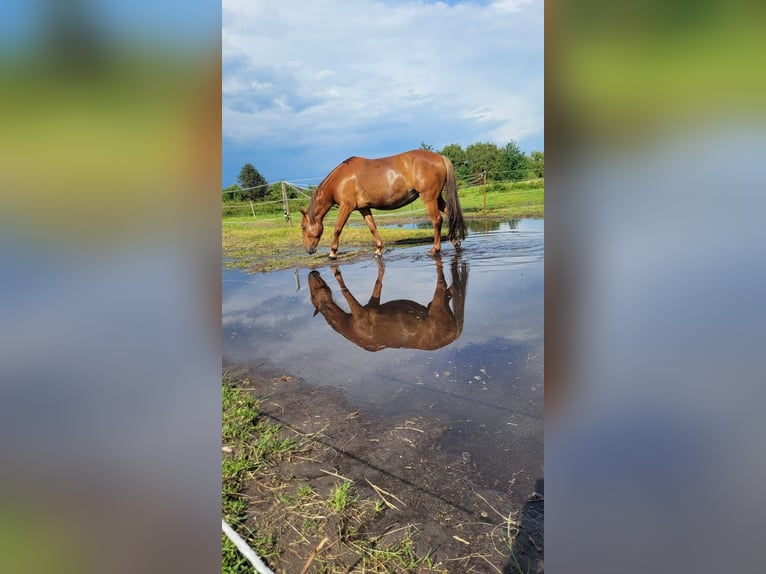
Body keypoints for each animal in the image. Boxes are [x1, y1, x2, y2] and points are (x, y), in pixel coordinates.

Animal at [300, 153, 468, 260]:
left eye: (303, 227)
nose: (308, 250)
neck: (341, 179)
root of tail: (439, 157)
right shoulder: (363, 208)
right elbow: (372, 228)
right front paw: (378, 250)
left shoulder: (346, 207)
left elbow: (337, 229)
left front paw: (332, 253)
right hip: (437, 198)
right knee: (451, 215)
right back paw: (455, 242)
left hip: (429, 198)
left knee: (437, 220)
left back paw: (435, 249)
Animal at [308, 258, 468, 354]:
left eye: (313, 297)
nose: (312, 273)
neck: (352, 327)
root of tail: (454, 334)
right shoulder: (373, 304)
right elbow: (377, 285)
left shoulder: (360, 311)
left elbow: (345, 291)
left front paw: (337, 272)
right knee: (453, 288)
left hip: (438, 300)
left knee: (443, 282)